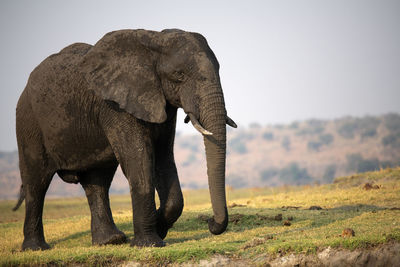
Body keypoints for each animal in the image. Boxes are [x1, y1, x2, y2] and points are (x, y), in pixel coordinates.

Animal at [14, 29, 236, 251]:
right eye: (179, 75)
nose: (210, 222)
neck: (153, 41)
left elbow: (163, 158)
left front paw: (159, 229)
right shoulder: (116, 106)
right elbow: (139, 161)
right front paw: (149, 243)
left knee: (97, 181)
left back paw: (110, 240)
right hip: (28, 123)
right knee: (36, 183)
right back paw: (36, 248)